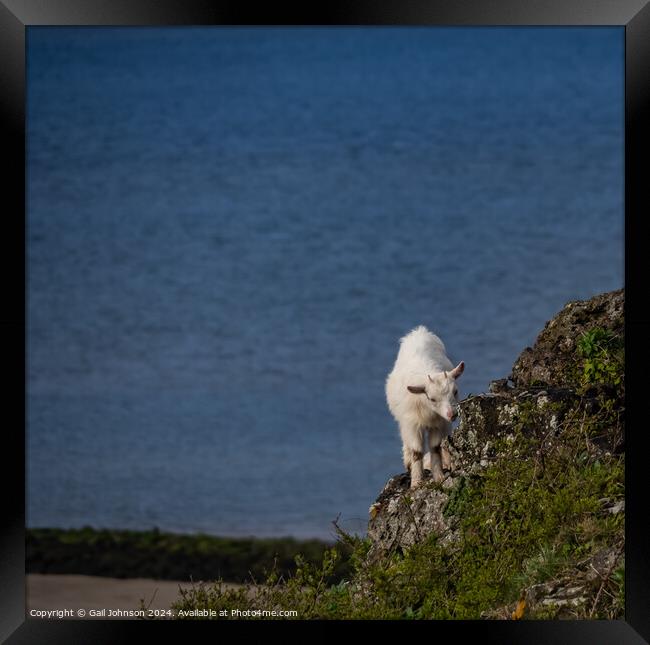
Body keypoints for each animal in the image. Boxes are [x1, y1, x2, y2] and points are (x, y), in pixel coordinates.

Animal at [384, 328, 460, 488]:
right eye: (432, 398)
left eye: (455, 391)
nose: (452, 414)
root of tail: (419, 331)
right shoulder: (412, 424)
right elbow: (417, 451)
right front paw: (416, 482)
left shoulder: (439, 423)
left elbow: (435, 447)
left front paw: (439, 477)